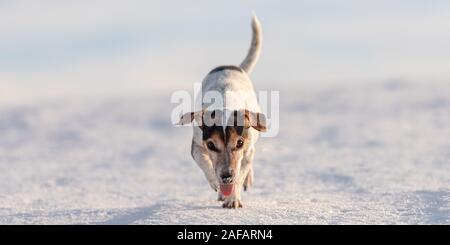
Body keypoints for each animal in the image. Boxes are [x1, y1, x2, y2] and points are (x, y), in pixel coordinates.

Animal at [178, 13, 266, 209]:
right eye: (211, 145)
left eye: (239, 143)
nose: (226, 176)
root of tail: (232, 66)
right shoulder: (197, 146)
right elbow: (206, 164)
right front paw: (217, 184)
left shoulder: (247, 151)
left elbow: (241, 173)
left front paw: (233, 198)